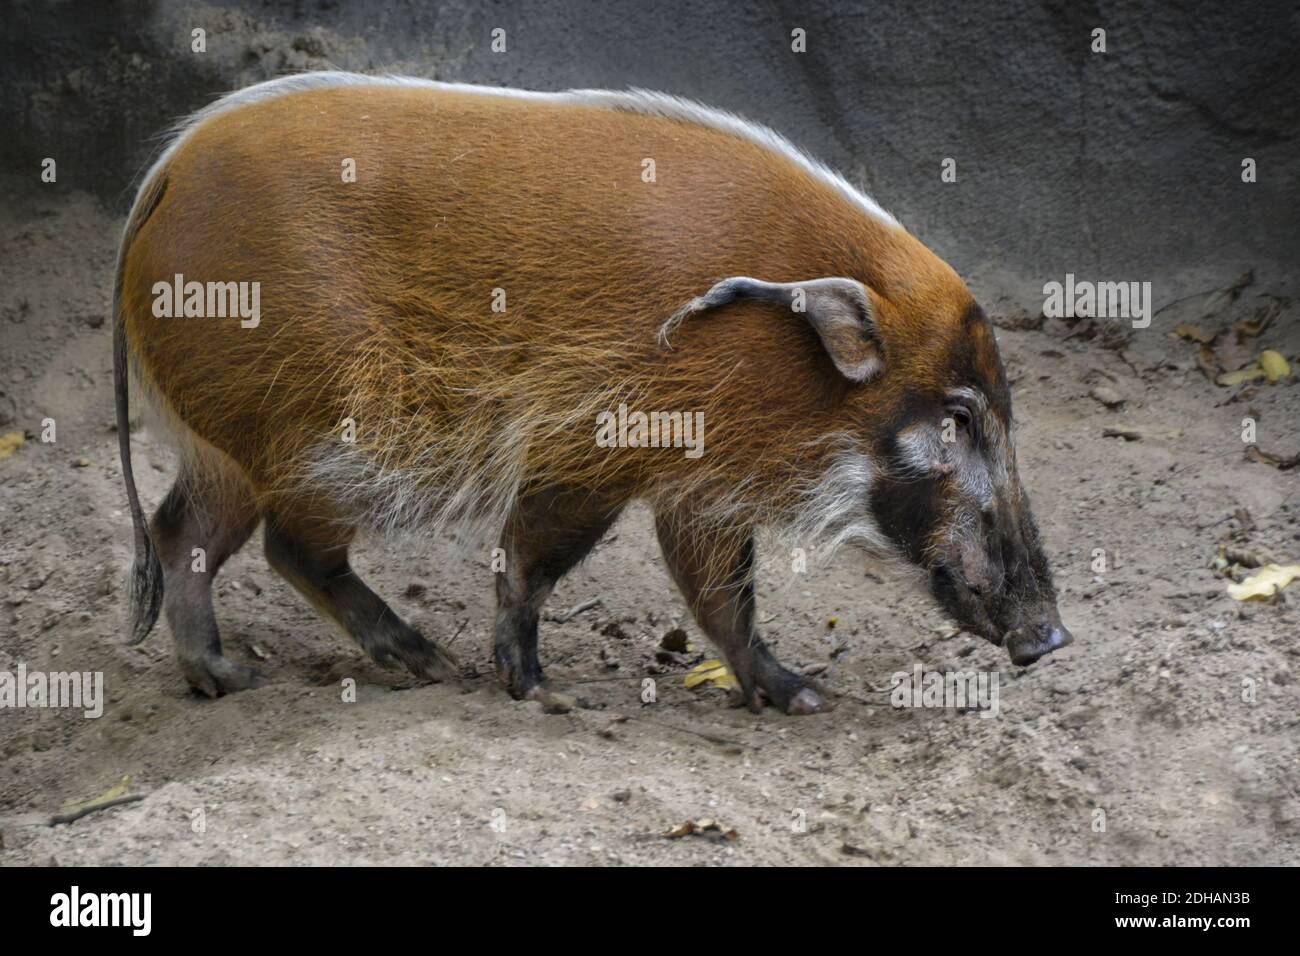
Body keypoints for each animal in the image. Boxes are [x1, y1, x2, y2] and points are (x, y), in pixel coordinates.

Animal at [114, 72, 1066, 712]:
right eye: (957, 417)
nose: (1051, 637)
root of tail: (160, 178)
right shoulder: (604, 448)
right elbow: (539, 560)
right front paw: (537, 689)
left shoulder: (697, 482)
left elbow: (720, 592)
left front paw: (792, 694)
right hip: (319, 432)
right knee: (282, 547)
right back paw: (389, 664)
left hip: (238, 443)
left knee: (184, 531)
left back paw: (230, 677)